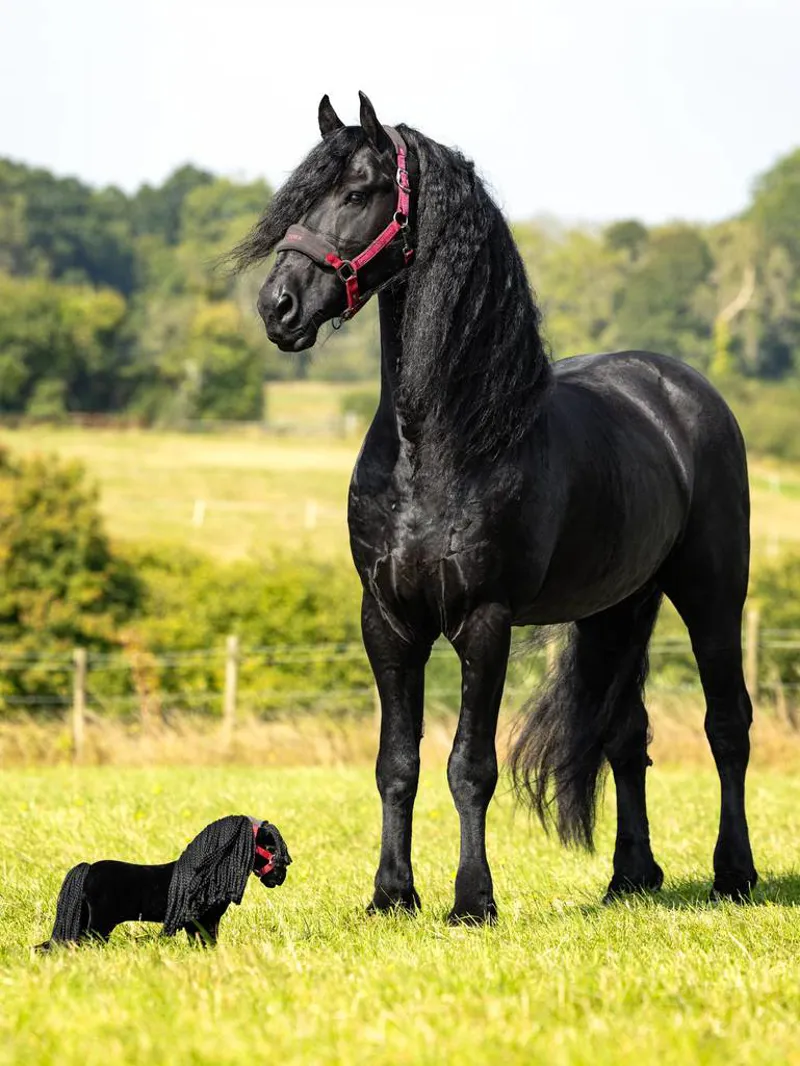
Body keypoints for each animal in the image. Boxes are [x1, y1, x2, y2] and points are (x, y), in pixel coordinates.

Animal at [233, 92, 758, 924]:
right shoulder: (387, 620)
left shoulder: (485, 619)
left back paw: (733, 873)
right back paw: (630, 878)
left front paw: (472, 900)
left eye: (358, 190)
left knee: (727, 725)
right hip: (618, 607)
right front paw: (392, 894)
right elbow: (397, 762)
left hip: (711, 593)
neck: (438, 442)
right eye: (298, 196)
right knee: (624, 733)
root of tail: (684, 390)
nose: (277, 307)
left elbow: (469, 765)